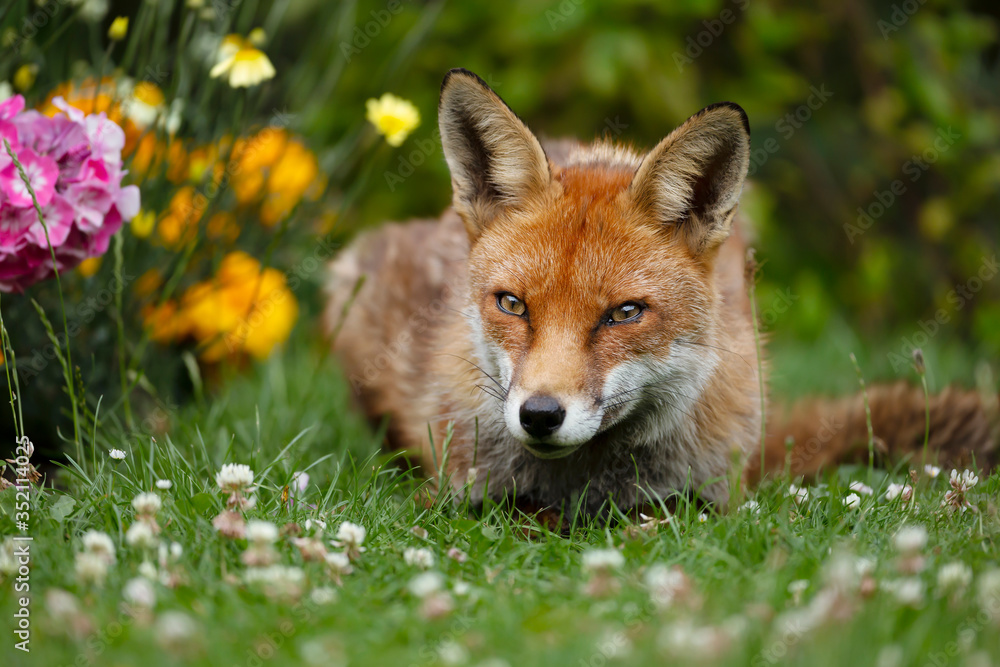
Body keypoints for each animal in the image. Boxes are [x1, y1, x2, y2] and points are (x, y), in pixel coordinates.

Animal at [324, 69, 996, 516]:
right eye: (512, 304)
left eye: (625, 313)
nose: (539, 415)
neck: (582, 486)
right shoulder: (456, 492)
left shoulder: (713, 498)